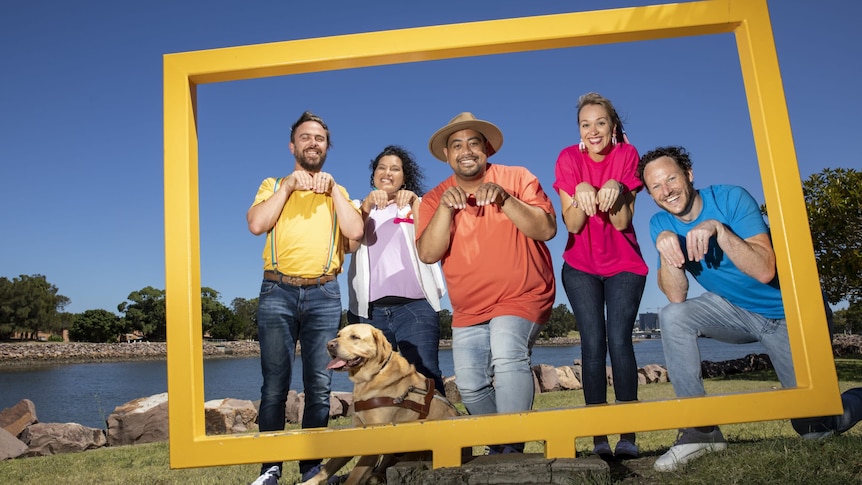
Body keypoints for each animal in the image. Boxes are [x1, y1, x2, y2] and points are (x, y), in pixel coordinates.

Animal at [300, 322, 462, 484]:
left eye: (354, 337)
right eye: (338, 335)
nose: (329, 345)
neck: (372, 377)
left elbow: (354, 476)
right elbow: (330, 466)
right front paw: (309, 482)